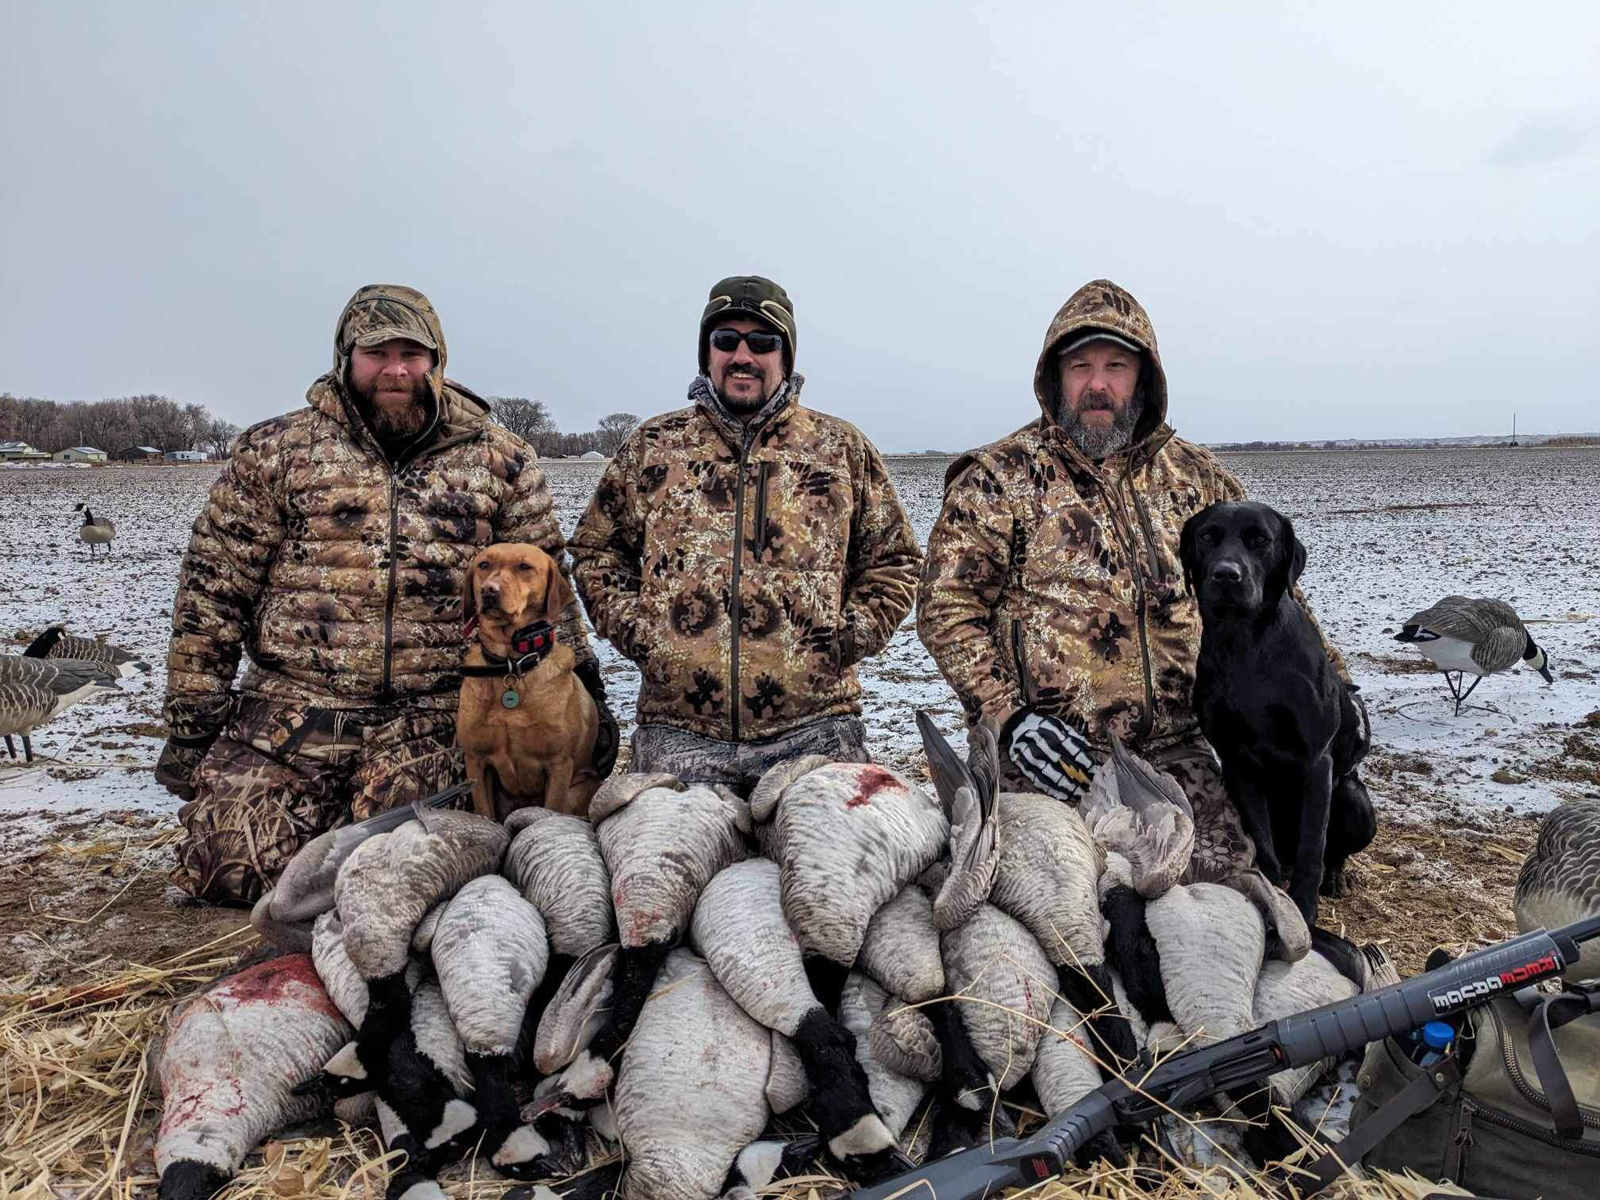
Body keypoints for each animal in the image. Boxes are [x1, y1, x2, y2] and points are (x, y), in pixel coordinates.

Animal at [457, 543, 601, 820]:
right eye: (483, 565)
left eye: (524, 567)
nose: (489, 590)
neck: (511, 665)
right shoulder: (476, 761)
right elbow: (484, 811)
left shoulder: (559, 764)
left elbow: (552, 808)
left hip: (579, 790)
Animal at [1179, 501, 1375, 926]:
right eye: (1207, 537)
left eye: (1260, 540)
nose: (1226, 574)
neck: (1245, 646)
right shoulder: (1238, 763)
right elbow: (1261, 837)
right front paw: (1272, 892)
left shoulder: (1317, 763)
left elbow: (1312, 849)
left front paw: (1304, 906)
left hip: (1354, 800)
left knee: (1333, 851)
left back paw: (1335, 879)